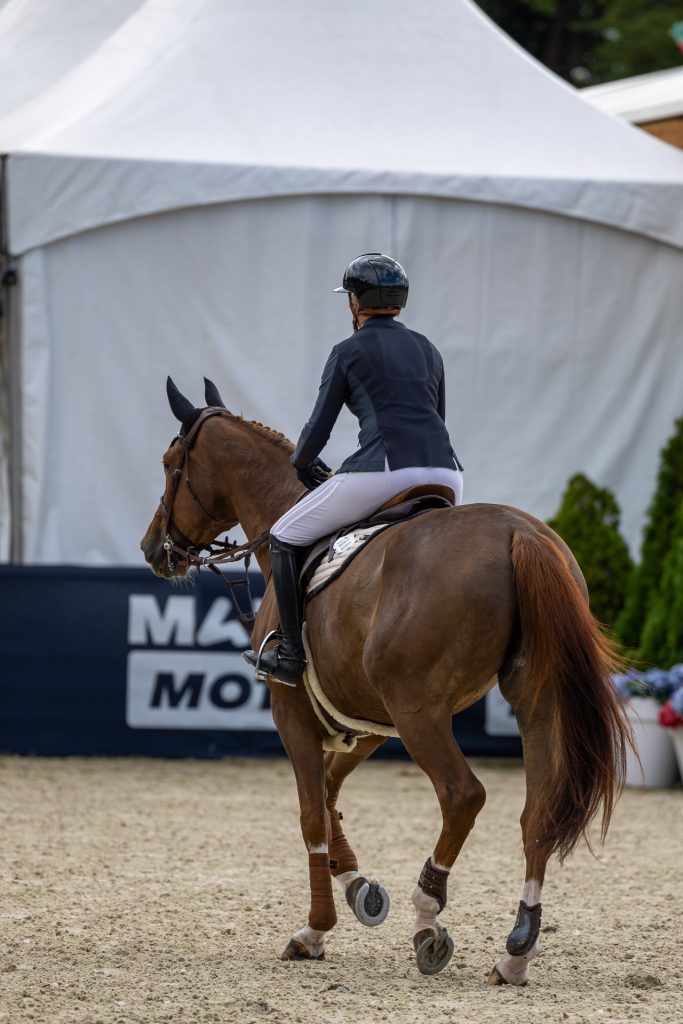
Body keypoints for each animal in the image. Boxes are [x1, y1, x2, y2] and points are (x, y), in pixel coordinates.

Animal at [141, 376, 634, 983]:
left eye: (170, 464)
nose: (152, 548)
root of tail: (520, 532)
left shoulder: (294, 712)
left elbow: (311, 813)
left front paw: (315, 930)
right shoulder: (370, 722)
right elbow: (330, 795)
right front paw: (359, 888)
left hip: (420, 712)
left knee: (462, 795)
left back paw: (428, 916)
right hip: (531, 704)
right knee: (536, 812)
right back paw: (516, 949)